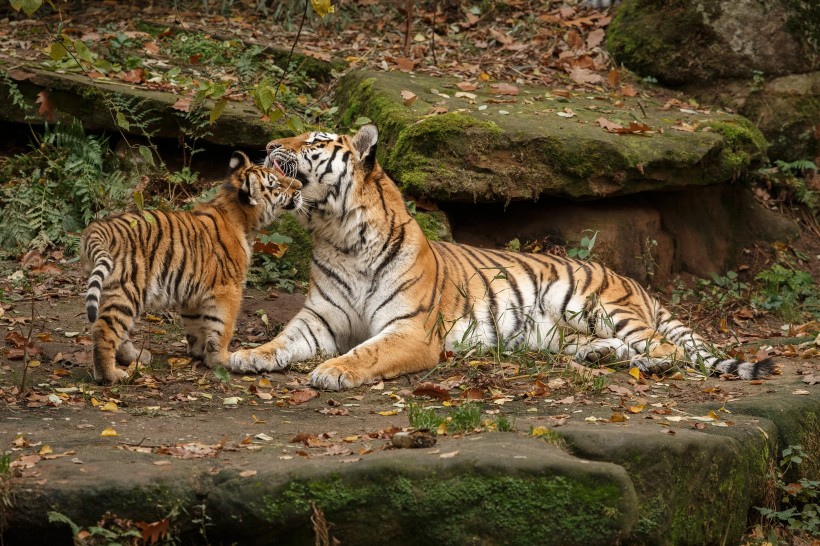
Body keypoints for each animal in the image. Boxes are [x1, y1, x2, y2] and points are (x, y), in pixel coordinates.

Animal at [81, 151, 302, 384]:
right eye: (276, 184)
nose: (299, 186)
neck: (238, 216)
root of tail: (97, 229)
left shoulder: (194, 292)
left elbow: (196, 324)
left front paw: (199, 351)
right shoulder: (227, 290)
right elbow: (222, 327)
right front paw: (222, 359)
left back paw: (133, 357)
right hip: (127, 288)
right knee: (103, 329)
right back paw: (110, 375)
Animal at [227, 125, 773, 390]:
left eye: (315, 142)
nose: (270, 144)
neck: (338, 235)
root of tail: (634, 282)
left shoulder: (410, 330)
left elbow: (367, 352)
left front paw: (334, 370)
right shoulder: (319, 319)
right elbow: (280, 341)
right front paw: (245, 356)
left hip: (595, 304)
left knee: (668, 348)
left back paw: (652, 366)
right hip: (558, 331)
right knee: (619, 346)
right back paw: (601, 356)